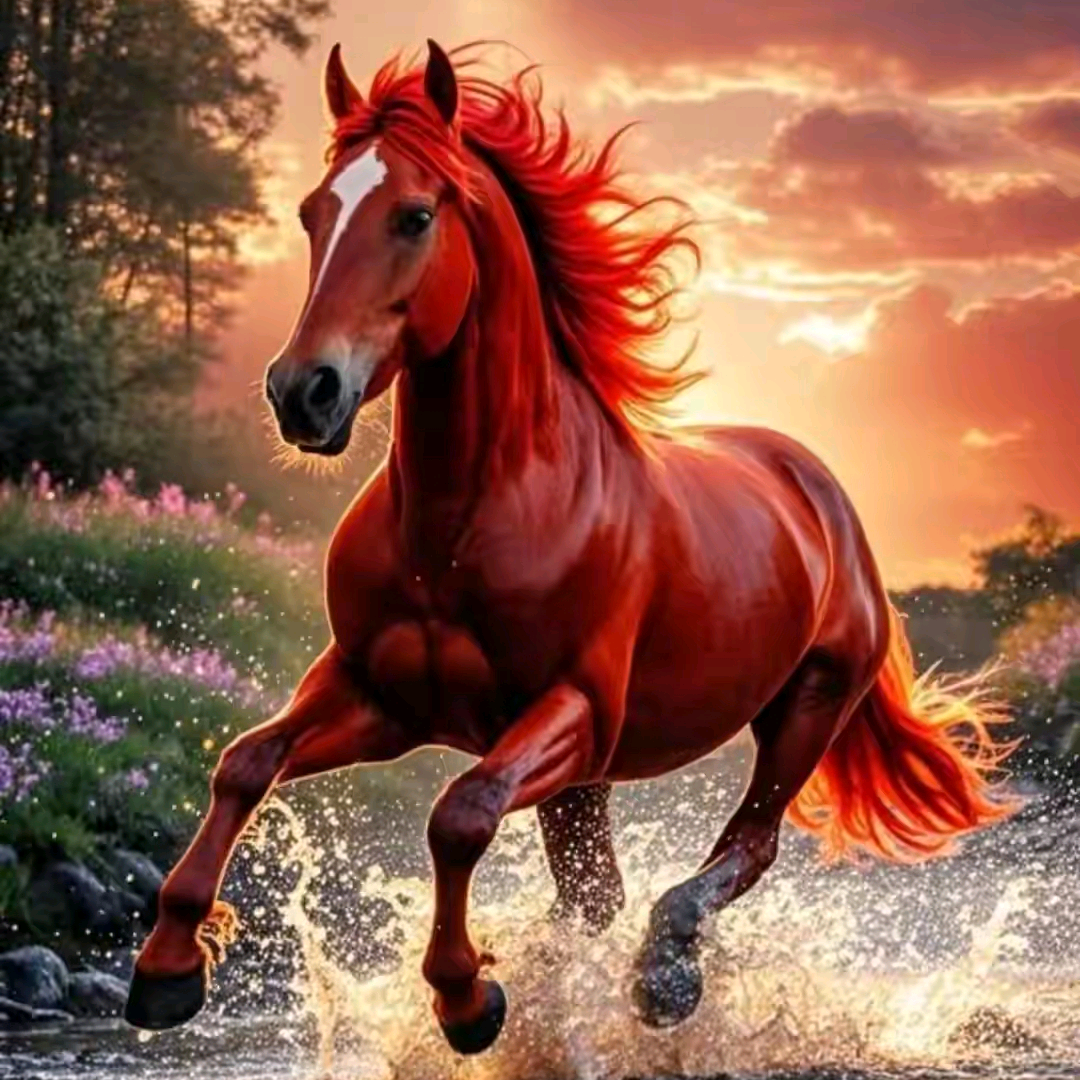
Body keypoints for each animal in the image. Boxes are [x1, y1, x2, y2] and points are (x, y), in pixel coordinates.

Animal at [124, 40, 1018, 1055]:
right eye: (314, 212)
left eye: (415, 215)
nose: (301, 393)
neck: (464, 520)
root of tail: (819, 489)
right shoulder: (376, 695)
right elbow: (244, 763)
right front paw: (167, 970)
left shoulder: (574, 708)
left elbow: (460, 815)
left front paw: (468, 998)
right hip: (585, 781)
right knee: (599, 892)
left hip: (806, 705)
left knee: (745, 845)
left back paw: (665, 975)